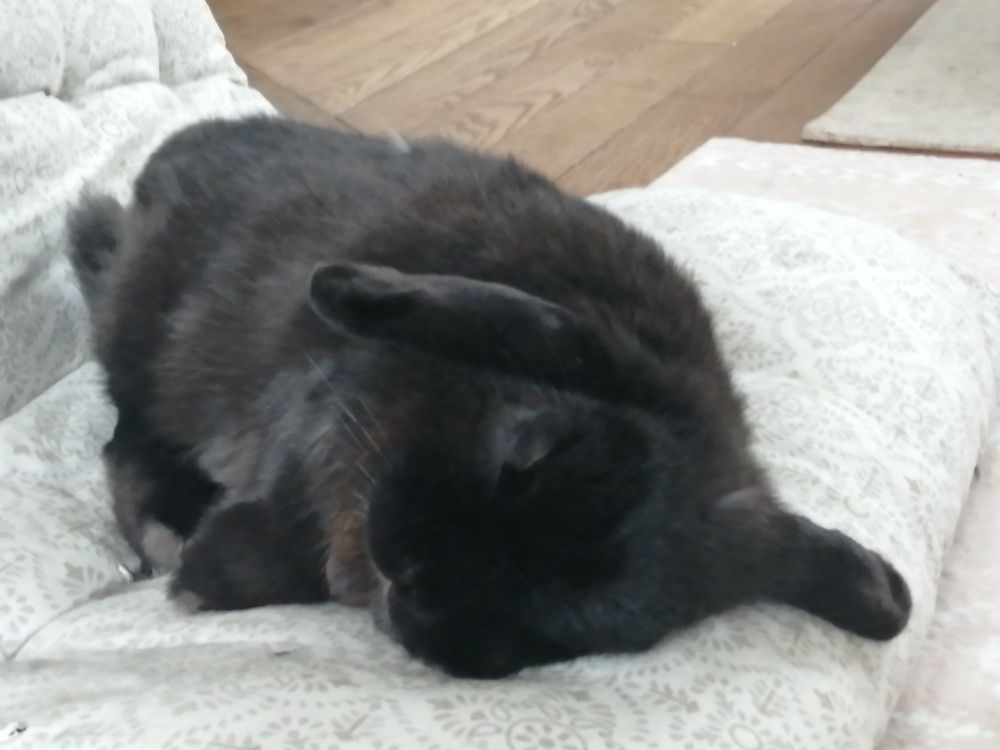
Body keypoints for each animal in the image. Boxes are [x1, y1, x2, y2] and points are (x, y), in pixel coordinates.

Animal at [68, 116, 911, 678]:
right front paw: (202, 576)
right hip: (144, 342)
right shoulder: (318, 419)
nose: (415, 577)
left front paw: (207, 575)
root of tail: (147, 185)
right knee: (125, 439)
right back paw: (166, 531)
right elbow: (283, 507)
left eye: (566, 618)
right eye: (524, 456)